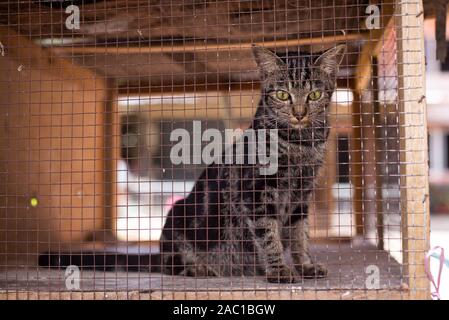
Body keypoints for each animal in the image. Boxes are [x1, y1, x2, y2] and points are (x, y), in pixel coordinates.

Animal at [161, 43, 346, 282]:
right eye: (282, 94)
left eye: (314, 94)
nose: (299, 114)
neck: (300, 145)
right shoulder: (257, 191)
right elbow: (268, 234)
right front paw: (278, 270)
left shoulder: (302, 194)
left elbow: (300, 234)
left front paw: (305, 266)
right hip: (177, 213)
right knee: (170, 264)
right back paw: (200, 268)